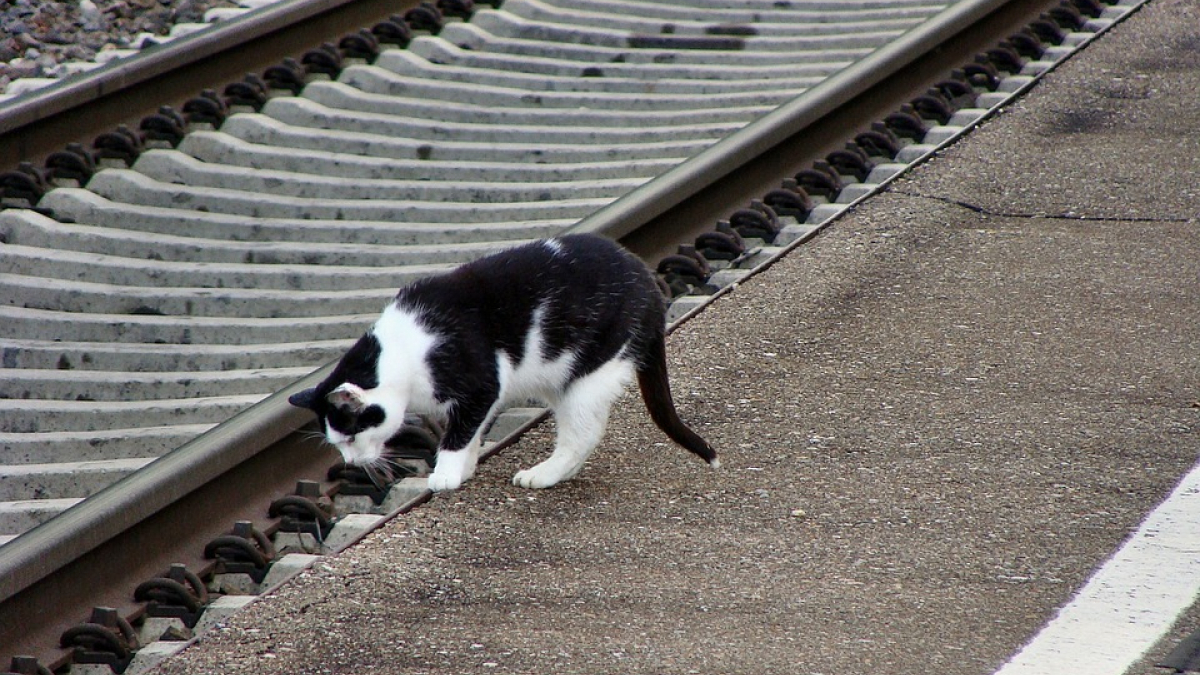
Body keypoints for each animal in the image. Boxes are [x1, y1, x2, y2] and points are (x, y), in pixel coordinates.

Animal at [288, 230, 720, 487]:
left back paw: (543, 475)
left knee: (584, 434)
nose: (351, 461)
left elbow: (458, 434)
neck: (404, 350)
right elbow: (471, 432)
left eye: (350, 436)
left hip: (590, 371)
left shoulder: (481, 385)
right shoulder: (481, 398)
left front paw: (445, 476)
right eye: (338, 442)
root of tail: (647, 279)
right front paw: (465, 468)